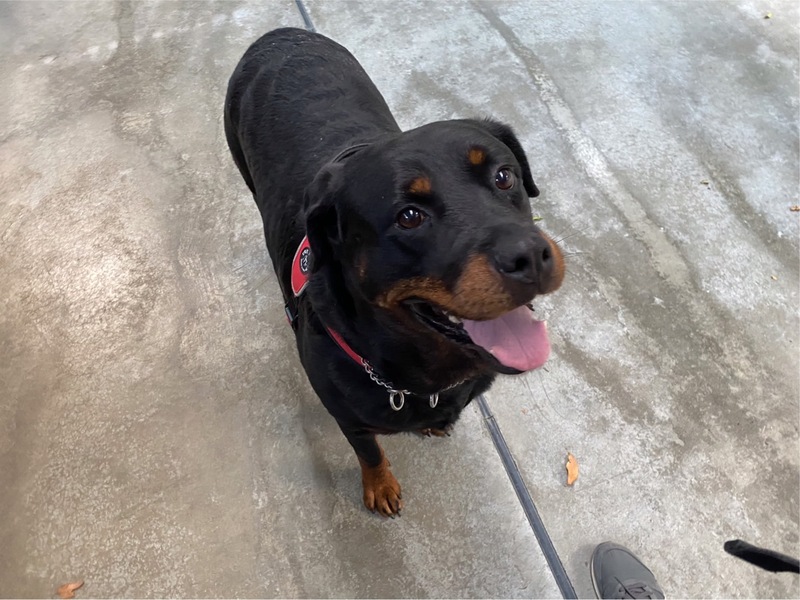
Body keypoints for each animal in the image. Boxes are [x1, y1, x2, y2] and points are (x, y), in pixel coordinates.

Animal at [224, 27, 564, 517]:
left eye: (505, 176)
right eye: (409, 216)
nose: (530, 256)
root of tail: (280, 33)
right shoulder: (347, 416)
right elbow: (370, 452)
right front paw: (380, 484)